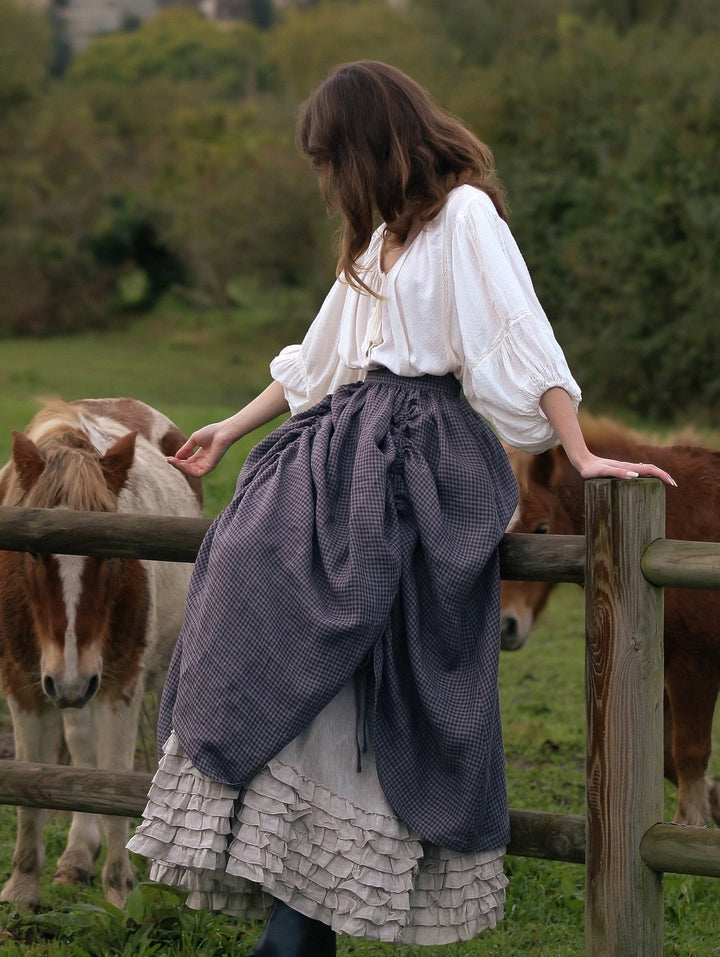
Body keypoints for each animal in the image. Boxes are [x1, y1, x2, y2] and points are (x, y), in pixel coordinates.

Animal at [0, 400, 202, 908]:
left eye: (112, 555)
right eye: (33, 554)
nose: (71, 679)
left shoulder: (118, 686)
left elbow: (114, 785)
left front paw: (120, 895)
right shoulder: (25, 684)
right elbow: (30, 788)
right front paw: (22, 889)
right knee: (79, 743)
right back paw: (75, 857)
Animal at [500, 418, 720, 828]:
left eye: (541, 529)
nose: (507, 627)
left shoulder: (696, 665)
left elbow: (689, 752)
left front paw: (690, 820)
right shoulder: (661, 667)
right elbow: (665, 755)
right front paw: (716, 799)